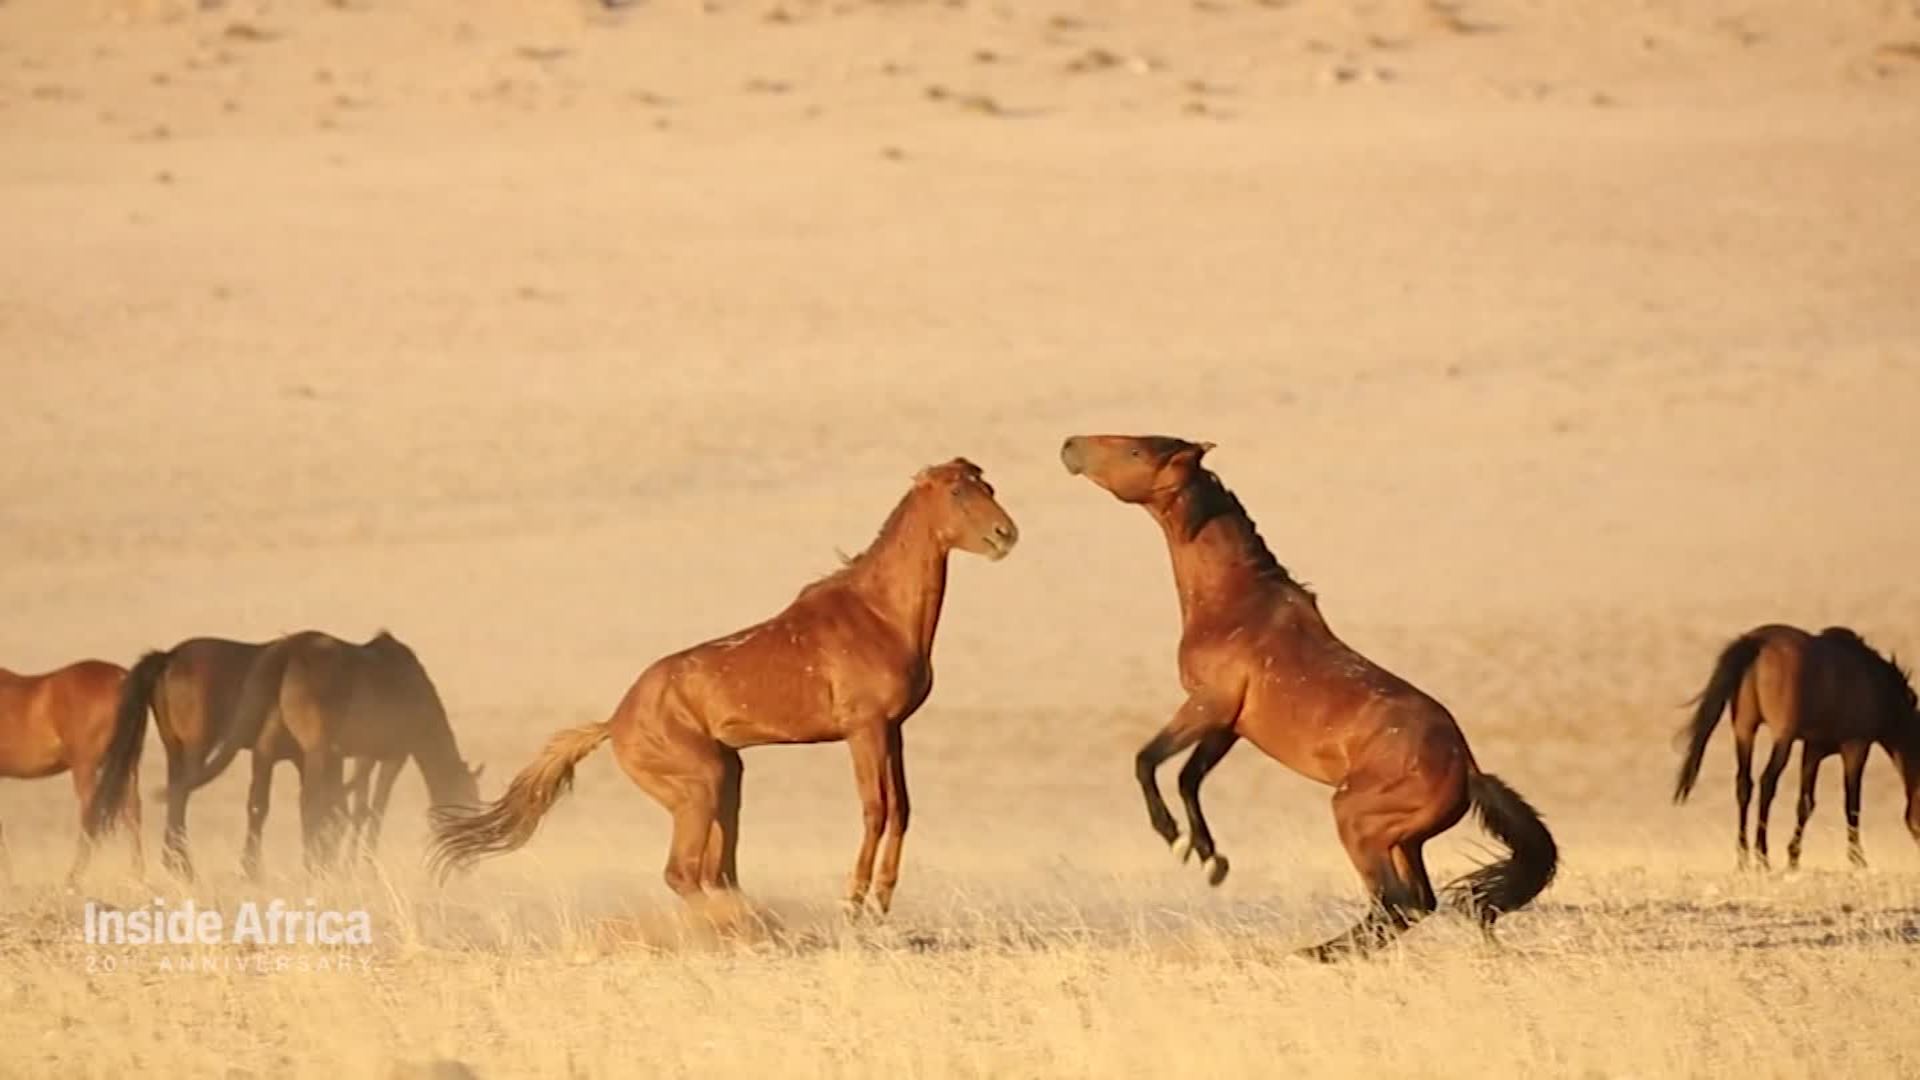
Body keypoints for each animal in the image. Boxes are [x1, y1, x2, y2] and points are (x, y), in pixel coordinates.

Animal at [0, 661, 141, 880]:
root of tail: (120, 677)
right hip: (128, 766)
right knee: (132, 814)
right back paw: (138, 876)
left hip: (86, 767)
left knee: (91, 815)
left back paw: (73, 879)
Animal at [426, 457, 1013, 910]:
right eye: (958, 491)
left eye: (987, 486)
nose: (1006, 534)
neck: (878, 613)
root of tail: (615, 721)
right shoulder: (863, 730)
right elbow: (876, 808)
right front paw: (853, 901)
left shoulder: (893, 730)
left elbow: (902, 808)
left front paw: (882, 898)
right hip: (701, 785)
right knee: (684, 873)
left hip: (727, 778)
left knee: (714, 873)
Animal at [1059, 432, 1566, 953]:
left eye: (1136, 451)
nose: (1071, 446)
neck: (1236, 601)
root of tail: (1467, 769)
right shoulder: (1229, 724)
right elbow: (1188, 777)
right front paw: (1209, 858)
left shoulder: (1207, 704)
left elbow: (1147, 760)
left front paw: (1173, 836)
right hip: (1404, 839)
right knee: (1414, 904)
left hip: (1357, 821)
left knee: (1396, 903)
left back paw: (1314, 953)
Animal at [1666, 622, 1920, 864]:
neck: (1876, 687)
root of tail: (1757, 641)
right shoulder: (1856, 746)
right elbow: (1852, 805)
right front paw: (1858, 861)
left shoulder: (1814, 748)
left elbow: (1805, 803)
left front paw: (1793, 859)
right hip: (1782, 737)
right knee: (1767, 782)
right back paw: (1762, 857)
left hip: (1744, 730)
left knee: (1744, 785)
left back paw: (1743, 860)